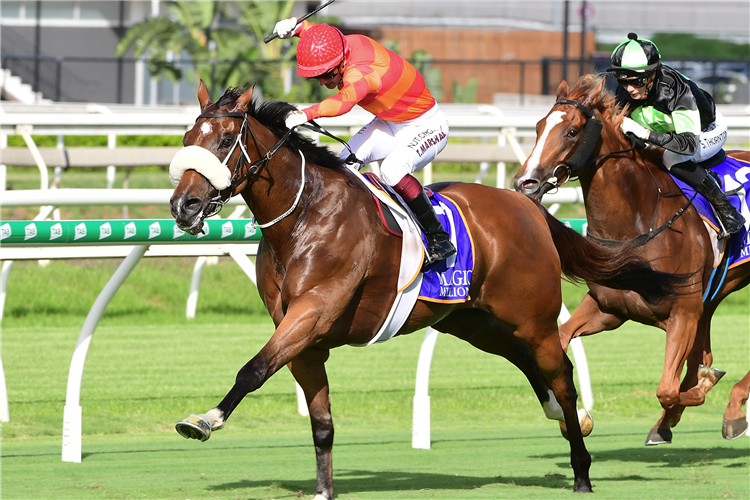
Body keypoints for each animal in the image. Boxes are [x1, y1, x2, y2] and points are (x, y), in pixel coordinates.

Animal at [170, 82, 688, 496]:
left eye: (223, 140)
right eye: (187, 140)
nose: (183, 205)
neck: (304, 215)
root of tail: (526, 205)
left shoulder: (313, 311)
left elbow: (253, 369)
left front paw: (204, 420)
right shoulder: (303, 337)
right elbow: (321, 423)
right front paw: (323, 489)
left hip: (532, 316)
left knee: (559, 373)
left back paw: (580, 466)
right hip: (473, 320)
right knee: (525, 361)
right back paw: (567, 419)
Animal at [516, 74, 750, 446]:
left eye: (571, 131)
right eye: (539, 127)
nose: (526, 182)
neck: (637, 223)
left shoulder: (683, 312)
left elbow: (668, 389)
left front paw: (704, 385)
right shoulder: (609, 309)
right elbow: (561, 342)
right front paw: (575, 418)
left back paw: (733, 409)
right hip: (713, 295)